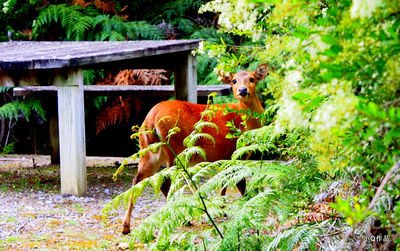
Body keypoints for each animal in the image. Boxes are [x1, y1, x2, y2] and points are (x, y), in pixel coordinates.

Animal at [122, 63, 268, 234]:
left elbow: (224, 182)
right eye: (234, 81)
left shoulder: (224, 157)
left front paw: (223, 209)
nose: (243, 90)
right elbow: (239, 183)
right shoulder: (235, 152)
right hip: (176, 150)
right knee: (169, 182)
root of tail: (151, 119)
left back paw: (126, 226)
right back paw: (184, 220)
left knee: (139, 181)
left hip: (148, 151)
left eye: (252, 79)